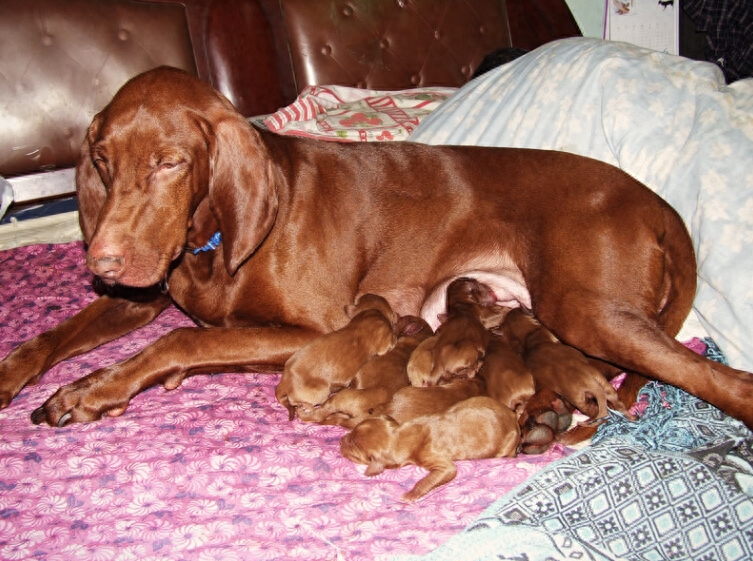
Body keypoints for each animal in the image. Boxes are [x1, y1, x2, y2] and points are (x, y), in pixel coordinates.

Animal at [296, 316, 432, 424]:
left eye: (396, 322)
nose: (397, 315)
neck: (414, 342)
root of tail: (364, 416)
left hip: (341, 397)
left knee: (320, 414)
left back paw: (305, 409)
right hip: (343, 414)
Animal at [340, 396, 520, 500]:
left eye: (352, 446)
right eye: (352, 432)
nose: (341, 440)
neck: (403, 435)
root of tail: (513, 415)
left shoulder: (443, 465)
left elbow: (426, 481)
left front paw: (410, 495)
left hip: (508, 445)